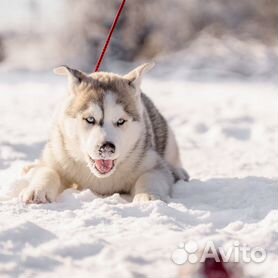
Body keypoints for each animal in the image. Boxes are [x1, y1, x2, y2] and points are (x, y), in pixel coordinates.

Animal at [20, 63, 189, 203]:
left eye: (120, 121)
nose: (107, 148)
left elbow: (150, 177)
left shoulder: (152, 162)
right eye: (90, 119)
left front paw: (148, 196)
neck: (100, 179)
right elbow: (47, 171)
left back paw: (178, 172)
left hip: (167, 138)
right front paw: (37, 191)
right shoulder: (56, 157)